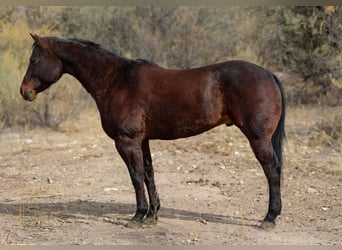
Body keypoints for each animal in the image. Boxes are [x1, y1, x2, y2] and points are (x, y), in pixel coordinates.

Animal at [19, 34, 286, 229]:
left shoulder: (126, 141)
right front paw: (152, 215)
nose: (24, 91)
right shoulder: (143, 141)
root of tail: (269, 74)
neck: (116, 81)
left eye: (33, 60)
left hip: (258, 138)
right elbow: (149, 175)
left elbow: (136, 177)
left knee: (272, 171)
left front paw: (138, 216)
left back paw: (269, 218)